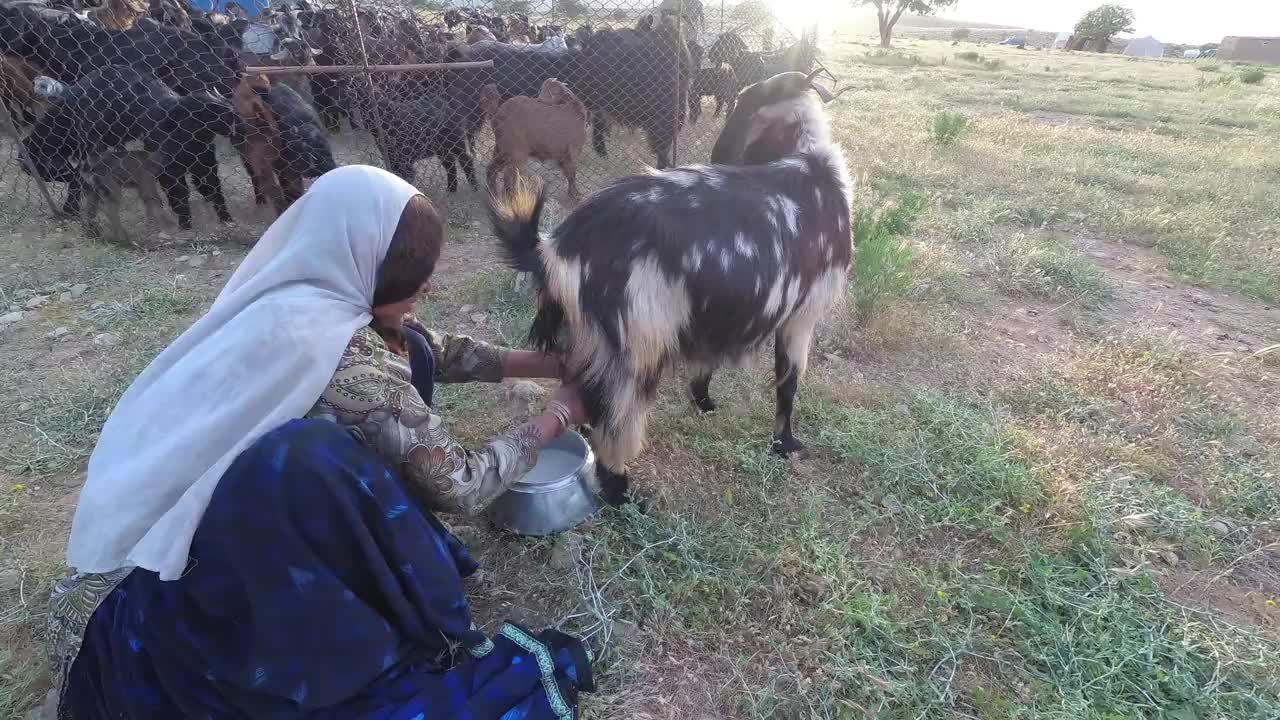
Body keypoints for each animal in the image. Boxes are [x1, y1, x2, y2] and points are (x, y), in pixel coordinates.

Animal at [486, 70, 849, 502]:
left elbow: (710, 364)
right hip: (635, 352)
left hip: (584, 343)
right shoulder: (803, 314)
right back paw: (624, 494)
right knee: (614, 426)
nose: (721, 153)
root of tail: (555, 249)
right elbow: (788, 382)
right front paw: (785, 445)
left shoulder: (715, 318)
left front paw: (705, 402)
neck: (812, 170)